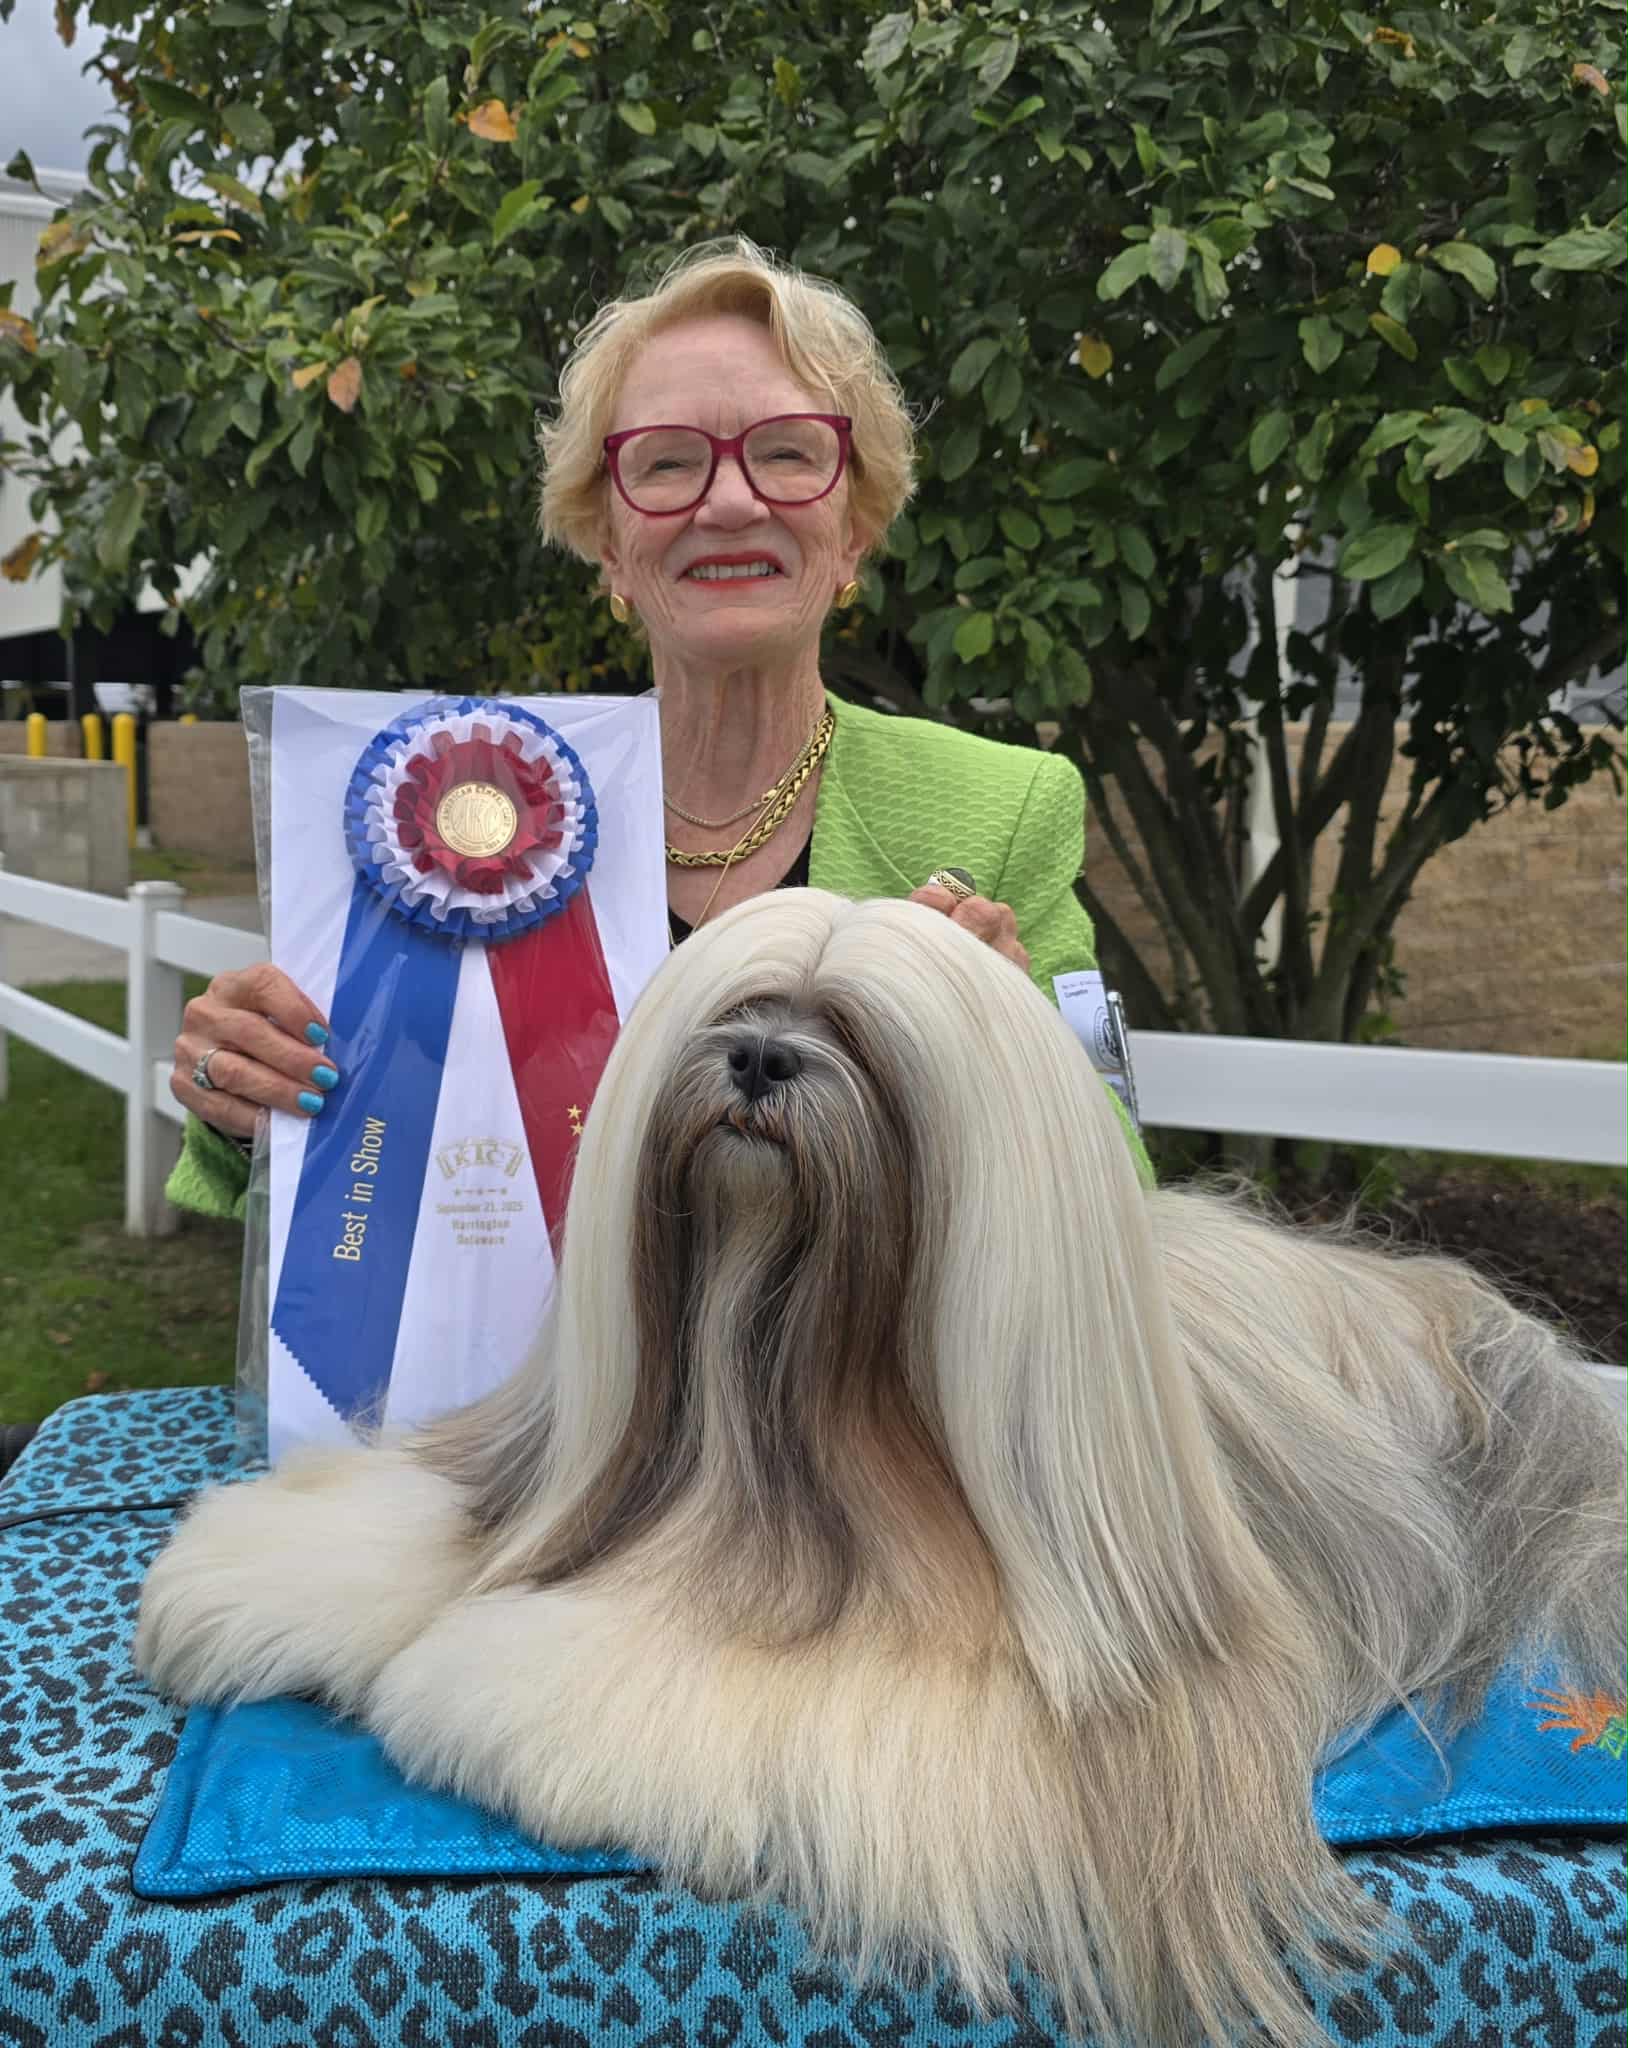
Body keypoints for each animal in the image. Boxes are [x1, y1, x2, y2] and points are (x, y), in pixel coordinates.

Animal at [136, 888, 1626, 2045]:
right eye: (745, 1009)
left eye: (850, 1039)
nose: (756, 1062)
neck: (769, 1393)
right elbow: (428, 1524)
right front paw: (255, 1577)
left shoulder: (1009, 1716)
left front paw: (493, 1682)